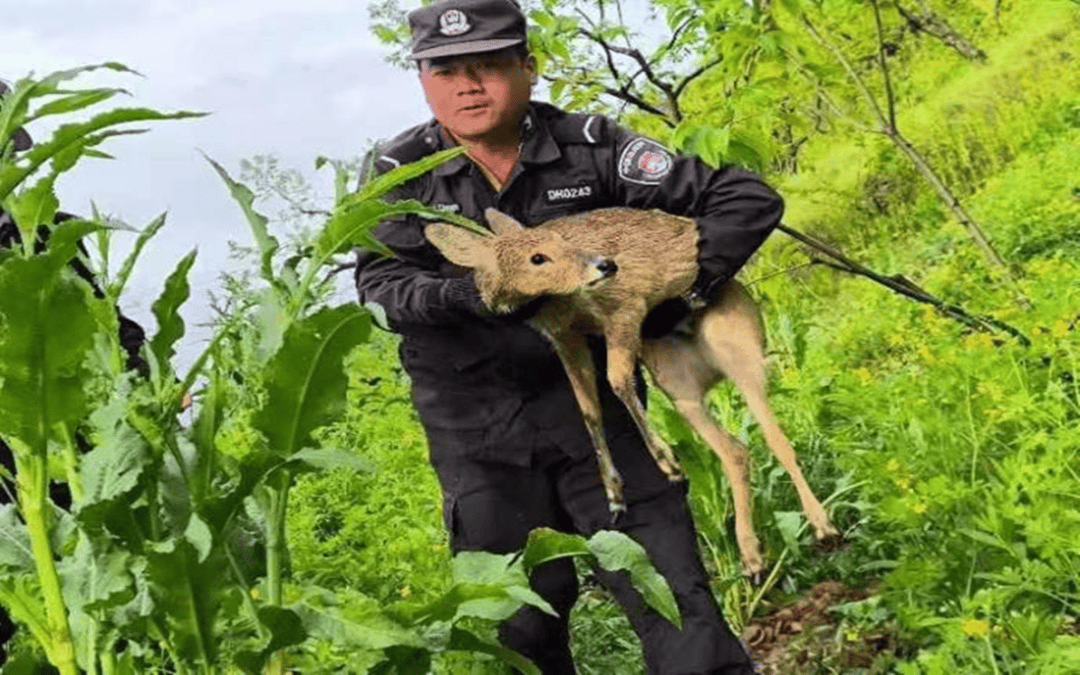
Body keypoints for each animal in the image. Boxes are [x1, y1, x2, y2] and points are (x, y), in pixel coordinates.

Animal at [425, 205, 838, 574]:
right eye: (537, 257)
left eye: (562, 241)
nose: (605, 265)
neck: (560, 307)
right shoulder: (567, 340)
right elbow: (588, 409)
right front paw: (614, 493)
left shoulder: (624, 309)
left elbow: (618, 381)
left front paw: (667, 461)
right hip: (679, 386)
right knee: (736, 450)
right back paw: (751, 557)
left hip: (740, 351)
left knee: (776, 437)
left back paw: (823, 526)